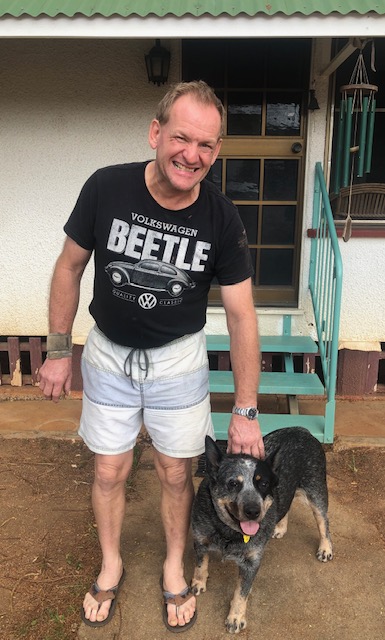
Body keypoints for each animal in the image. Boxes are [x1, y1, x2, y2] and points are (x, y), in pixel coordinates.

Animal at [190, 428, 332, 632]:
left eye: (263, 484)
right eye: (233, 483)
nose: (254, 511)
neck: (228, 532)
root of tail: (302, 429)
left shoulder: (252, 563)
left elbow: (241, 592)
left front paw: (235, 617)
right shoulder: (200, 540)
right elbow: (201, 565)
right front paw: (198, 582)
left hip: (316, 490)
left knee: (323, 521)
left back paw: (326, 548)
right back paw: (279, 527)